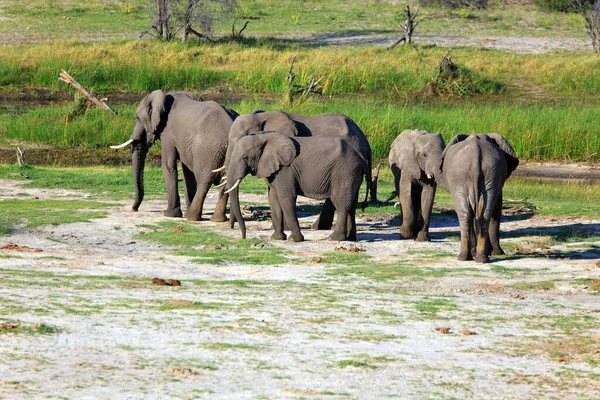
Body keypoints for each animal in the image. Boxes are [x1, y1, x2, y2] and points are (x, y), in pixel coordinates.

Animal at [111, 90, 238, 222]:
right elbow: (187, 172)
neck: (165, 97)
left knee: (204, 181)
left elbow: (168, 165)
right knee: (225, 183)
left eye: (137, 118)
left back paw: (192, 217)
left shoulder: (167, 132)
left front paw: (169, 214)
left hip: (208, 151)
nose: (134, 209)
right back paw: (217, 219)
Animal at [224, 133, 366, 242]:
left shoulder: (285, 170)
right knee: (351, 205)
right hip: (352, 174)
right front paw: (276, 238)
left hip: (344, 172)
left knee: (341, 203)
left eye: (245, 158)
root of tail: (361, 156)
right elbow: (273, 199)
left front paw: (294, 240)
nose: (244, 237)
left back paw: (334, 238)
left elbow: (286, 198)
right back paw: (351, 239)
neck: (263, 137)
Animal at [438, 133, 516, 262]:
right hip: (472, 176)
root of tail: (475, 157)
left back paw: (472, 257)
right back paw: (475, 258)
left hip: (480, 174)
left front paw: (496, 253)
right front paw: (496, 253)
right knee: (477, 214)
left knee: (469, 214)